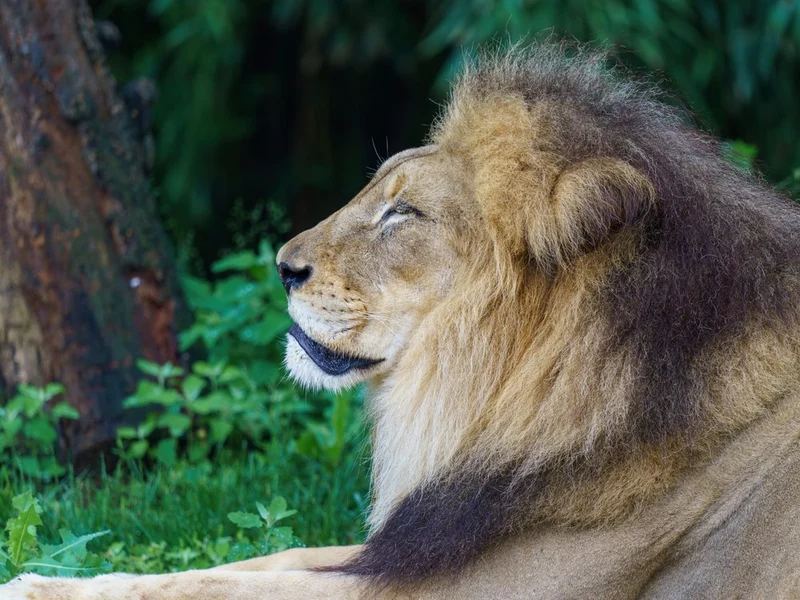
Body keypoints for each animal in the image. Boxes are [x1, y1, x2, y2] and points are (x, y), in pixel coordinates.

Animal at [5, 42, 800, 600]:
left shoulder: (489, 585)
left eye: (404, 213)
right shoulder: (418, 541)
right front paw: (49, 575)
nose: (282, 266)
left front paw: (32, 586)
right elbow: (260, 560)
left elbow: (234, 586)